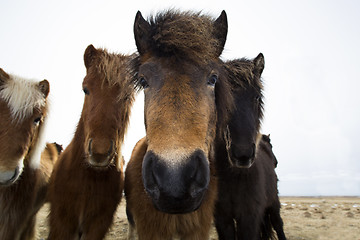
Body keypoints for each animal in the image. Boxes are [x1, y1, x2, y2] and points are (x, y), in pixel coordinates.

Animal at [47, 44, 136, 238]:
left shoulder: (98, 224)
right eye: (85, 89)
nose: (99, 152)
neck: (89, 177)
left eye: (127, 96)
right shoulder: (62, 222)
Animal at [214, 54, 286, 240]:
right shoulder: (222, 219)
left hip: (273, 205)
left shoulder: (249, 217)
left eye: (257, 97)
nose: (243, 154)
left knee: (278, 225)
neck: (234, 177)